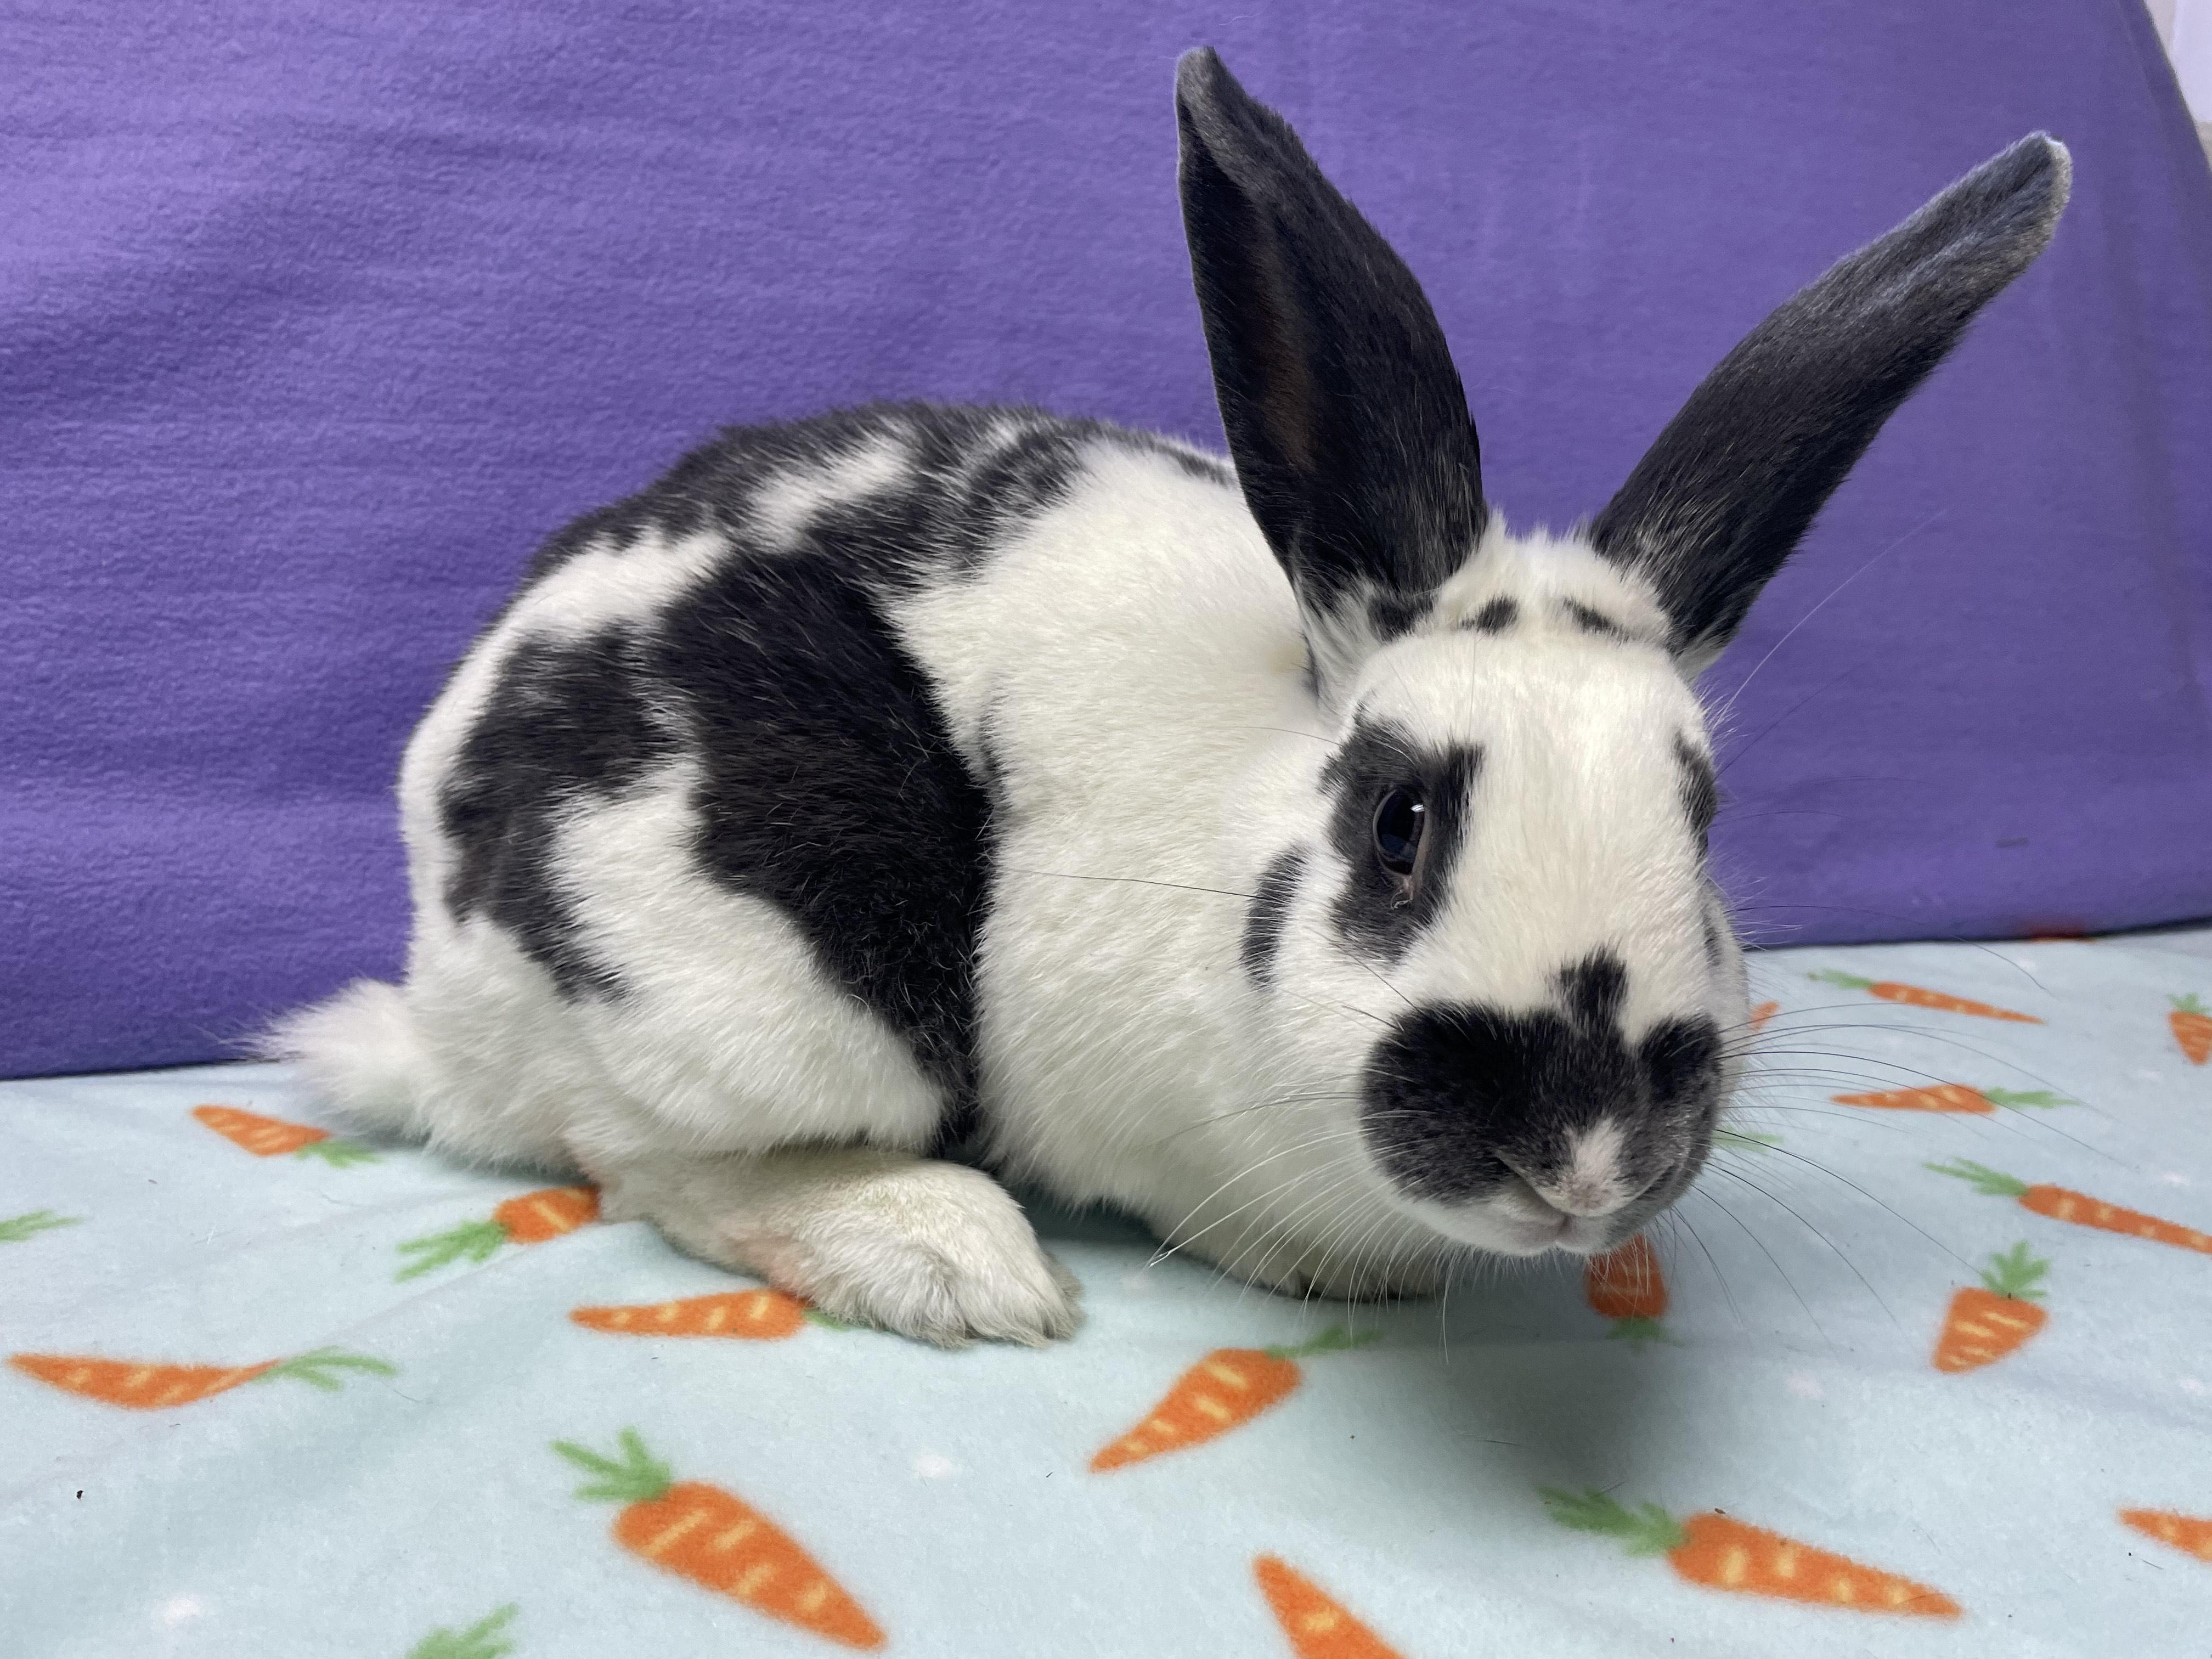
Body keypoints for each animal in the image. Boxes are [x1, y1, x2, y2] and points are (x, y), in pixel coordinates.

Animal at [271, 48, 2069, 1346]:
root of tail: (439, 1002)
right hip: (749, 969)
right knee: (637, 1156)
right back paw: (952, 1262)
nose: (1582, 1161)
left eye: (1703, 824)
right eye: (1400, 822)